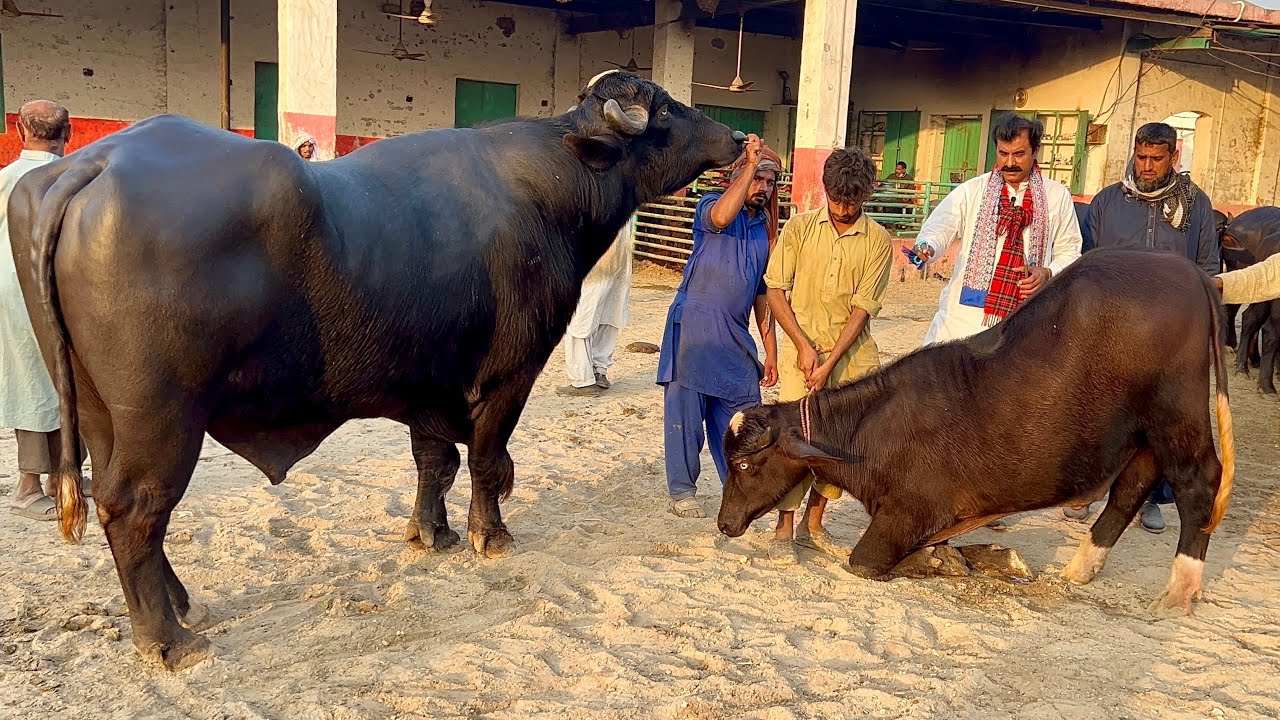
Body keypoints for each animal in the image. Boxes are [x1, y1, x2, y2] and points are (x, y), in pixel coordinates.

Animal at [8, 71, 745, 670]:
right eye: (667, 109)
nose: (736, 136)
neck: (550, 192)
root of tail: (96, 163)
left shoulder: (431, 384)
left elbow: (434, 462)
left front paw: (431, 534)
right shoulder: (509, 375)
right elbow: (486, 463)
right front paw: (490, 536)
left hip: (99, 412)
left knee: (118, 502)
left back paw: (186, 607)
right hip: (161, 416)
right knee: (135, 508)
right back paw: (169, 640)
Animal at [718, 249, 1234, 617]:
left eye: (743, 463)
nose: (724, 523)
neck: (868, 428)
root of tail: (1190, 272)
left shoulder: (906, 514)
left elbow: (863, 561)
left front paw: (941, 562)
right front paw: (985, 558)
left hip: (1177, 412)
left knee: (1197, 484)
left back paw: (1178, 591)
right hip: (1147, 431)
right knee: (1131, 487)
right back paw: (1079, 569)